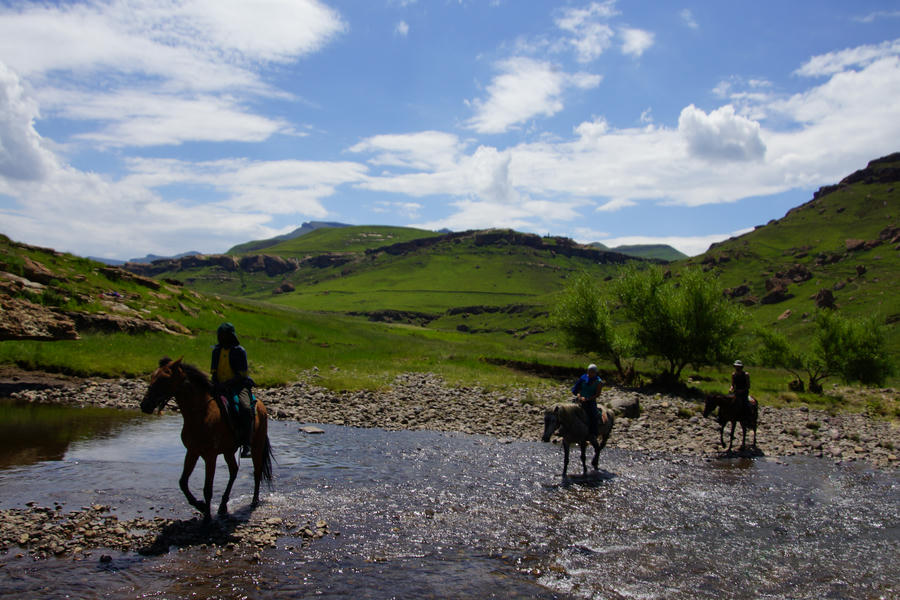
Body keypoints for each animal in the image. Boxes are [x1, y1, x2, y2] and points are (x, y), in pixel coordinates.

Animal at [139, 356, 272, 520]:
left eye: (164, 379)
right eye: (152, 376)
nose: (145, 405)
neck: (200, 414)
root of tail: (260, 405)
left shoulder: (210, 456)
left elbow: (208, 488)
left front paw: (207, 517)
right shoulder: (192, 451)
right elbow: (183, 482)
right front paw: (200, 506)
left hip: (256, 446)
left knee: (257, 471)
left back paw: (254, 501)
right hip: (228, 450)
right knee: (234, 471)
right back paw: (223, 506)